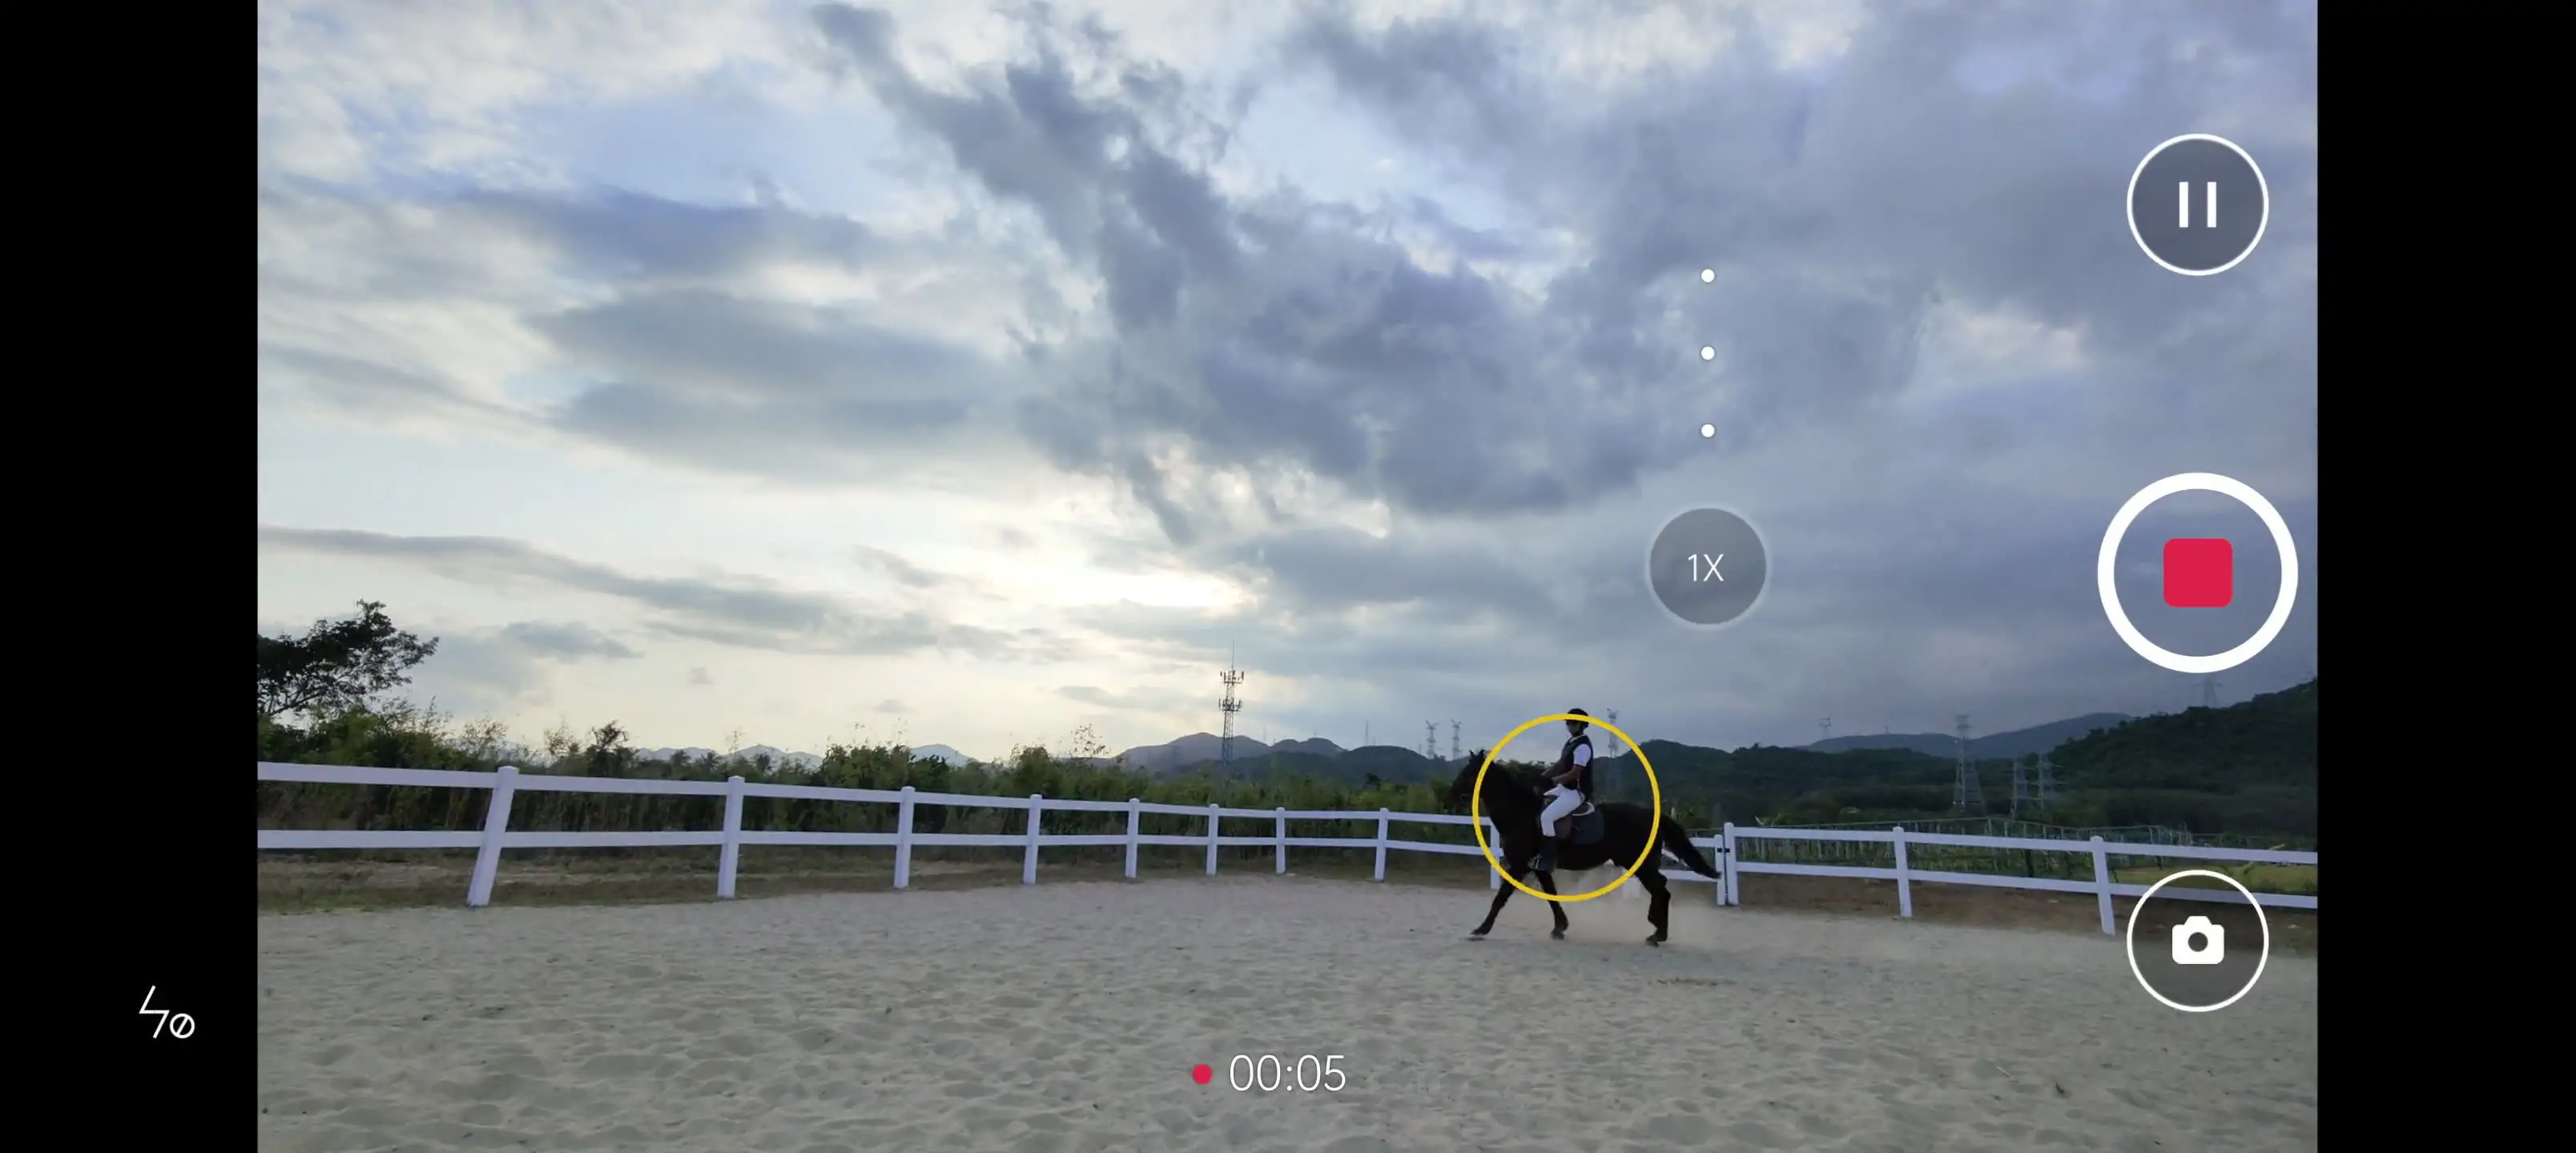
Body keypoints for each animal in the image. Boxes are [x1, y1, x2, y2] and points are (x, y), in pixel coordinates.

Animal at [1443, 752, 1725, 946]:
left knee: (1661, 891)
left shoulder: (1520, 865)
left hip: (1641, 865)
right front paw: (1560, 928)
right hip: (1642, 864)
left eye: (1469, 774)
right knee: (1661, 888)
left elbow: (1501, 898)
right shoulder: (1539, 867)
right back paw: (1655, 929)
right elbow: (1551, 895)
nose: (1449, 801)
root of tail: (1651, 814)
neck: (1520, 814)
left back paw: (1657, 934)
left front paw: (1481, 930)